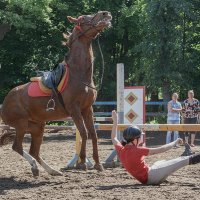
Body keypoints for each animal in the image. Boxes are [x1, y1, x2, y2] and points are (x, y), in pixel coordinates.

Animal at [0, 10, 112, 176]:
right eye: (82, 18)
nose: (106, 14)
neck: (78, 74)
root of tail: (6, 101)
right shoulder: (74, 110)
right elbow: (84, 133)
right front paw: (82, 163)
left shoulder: (87, 109)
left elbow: (93, 134)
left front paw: (98, 165)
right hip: (21, 124)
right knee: (17, 147)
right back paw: (36, 168)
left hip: (37, 126)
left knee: (34, 151)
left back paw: (51, 171)